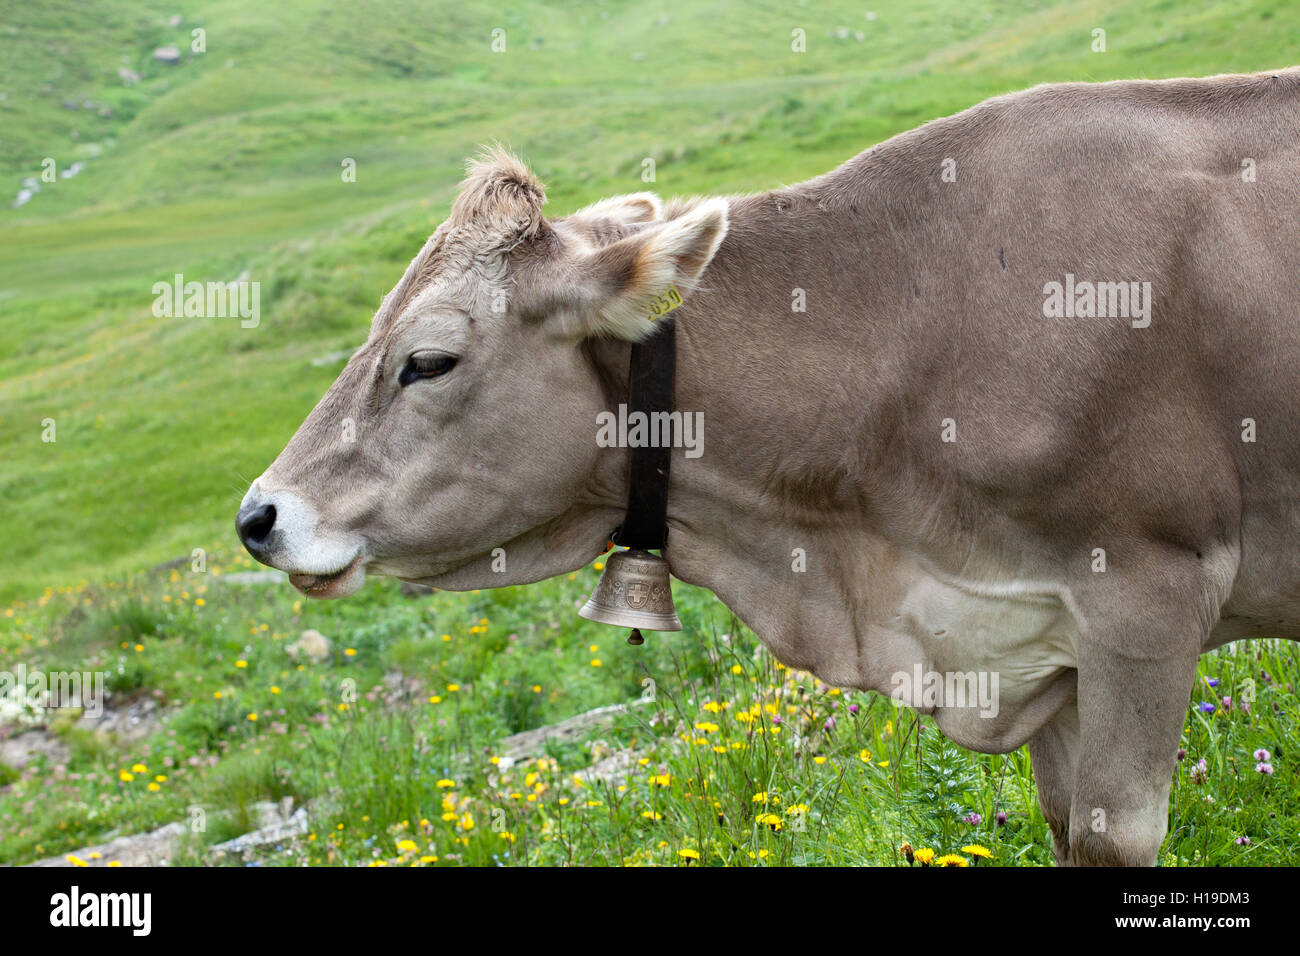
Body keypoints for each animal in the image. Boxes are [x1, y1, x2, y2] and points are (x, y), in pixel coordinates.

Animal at [239, 70, 1300, 868]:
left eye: (427, 359)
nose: (259, 517)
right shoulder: (1032, 632)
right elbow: (1062, 823)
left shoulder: (1147, 595)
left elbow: (1114, 839)